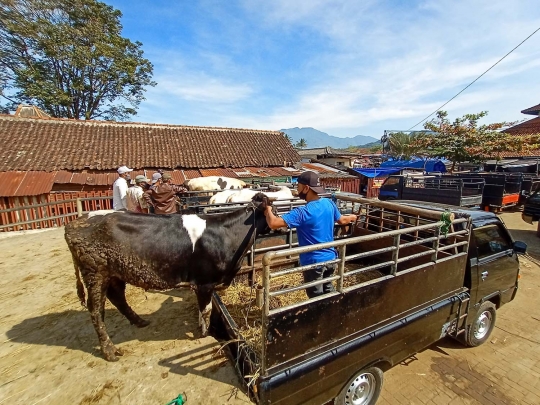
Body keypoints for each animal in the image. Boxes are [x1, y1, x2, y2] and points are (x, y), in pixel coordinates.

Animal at [65, 193, 272, 360]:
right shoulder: (204, 283)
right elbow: (206, 310)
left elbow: (205, 310)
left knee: (117, 298)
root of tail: (75, 222)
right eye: (274, 208)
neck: (227, 233)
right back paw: (109, 351)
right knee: (96, 310)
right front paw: (205, 333)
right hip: (95, 273)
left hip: (114, 273)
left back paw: (139, 321)